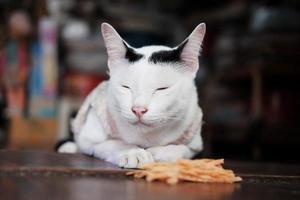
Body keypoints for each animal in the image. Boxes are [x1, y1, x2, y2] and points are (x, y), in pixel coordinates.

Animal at [57, 22, 205, 169]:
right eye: (126, 87)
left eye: (162, 88)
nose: (138, 110)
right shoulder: (88, 138)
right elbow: (113, 144)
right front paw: (134, 152)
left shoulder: (195, 145)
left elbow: (182, 149)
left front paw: (159, 153)